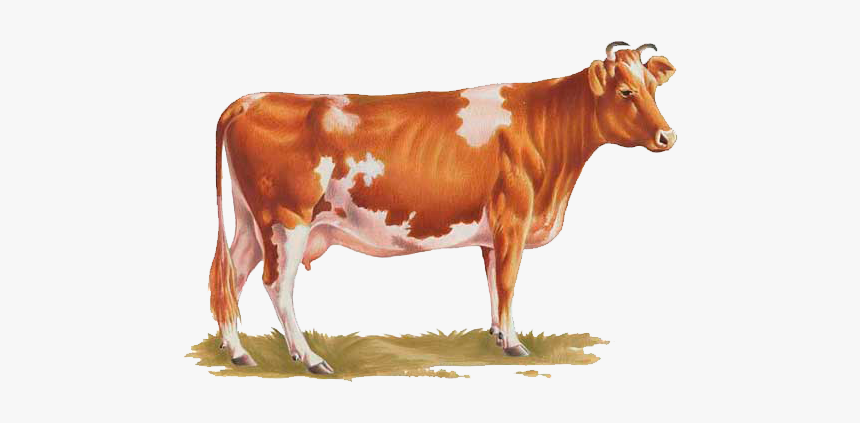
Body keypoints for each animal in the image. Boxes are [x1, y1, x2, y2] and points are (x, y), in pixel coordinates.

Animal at [209, 42, 677, 374]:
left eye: (654, 89)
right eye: (626, 91)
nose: (667, 136)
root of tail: (252, 99)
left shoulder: (492, 232)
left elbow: (492, 282)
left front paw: (497, 335)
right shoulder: (514, 218)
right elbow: (508, 281)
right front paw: (515, 343)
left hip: (251, 222)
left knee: (232, 276)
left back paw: (238, 352)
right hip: (287, 221)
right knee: (277, 285)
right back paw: (309, 358)